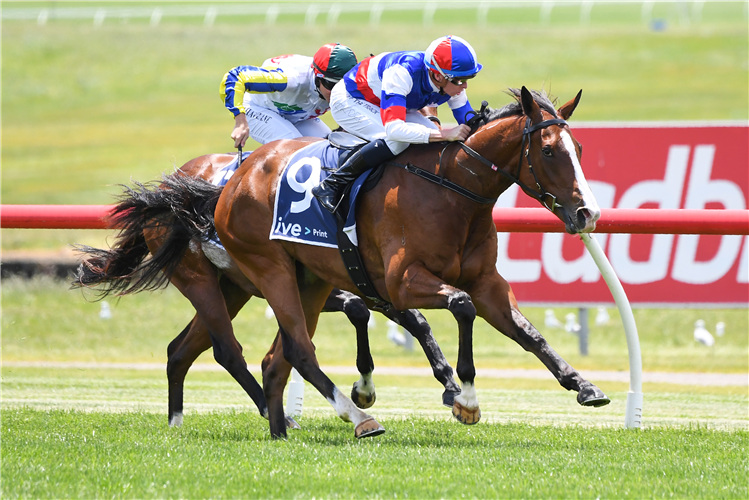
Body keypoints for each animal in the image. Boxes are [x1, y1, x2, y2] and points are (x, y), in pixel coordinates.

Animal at [76, 150, 462, 428]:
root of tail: (169, 189)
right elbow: (358, 310)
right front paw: (364, 388)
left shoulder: (370, 281)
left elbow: (412, 319)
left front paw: (449, 383)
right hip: (200, 279)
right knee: (226, 350)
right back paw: (277, 414)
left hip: (232, 290)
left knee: (180, 349)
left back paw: (177, 421)